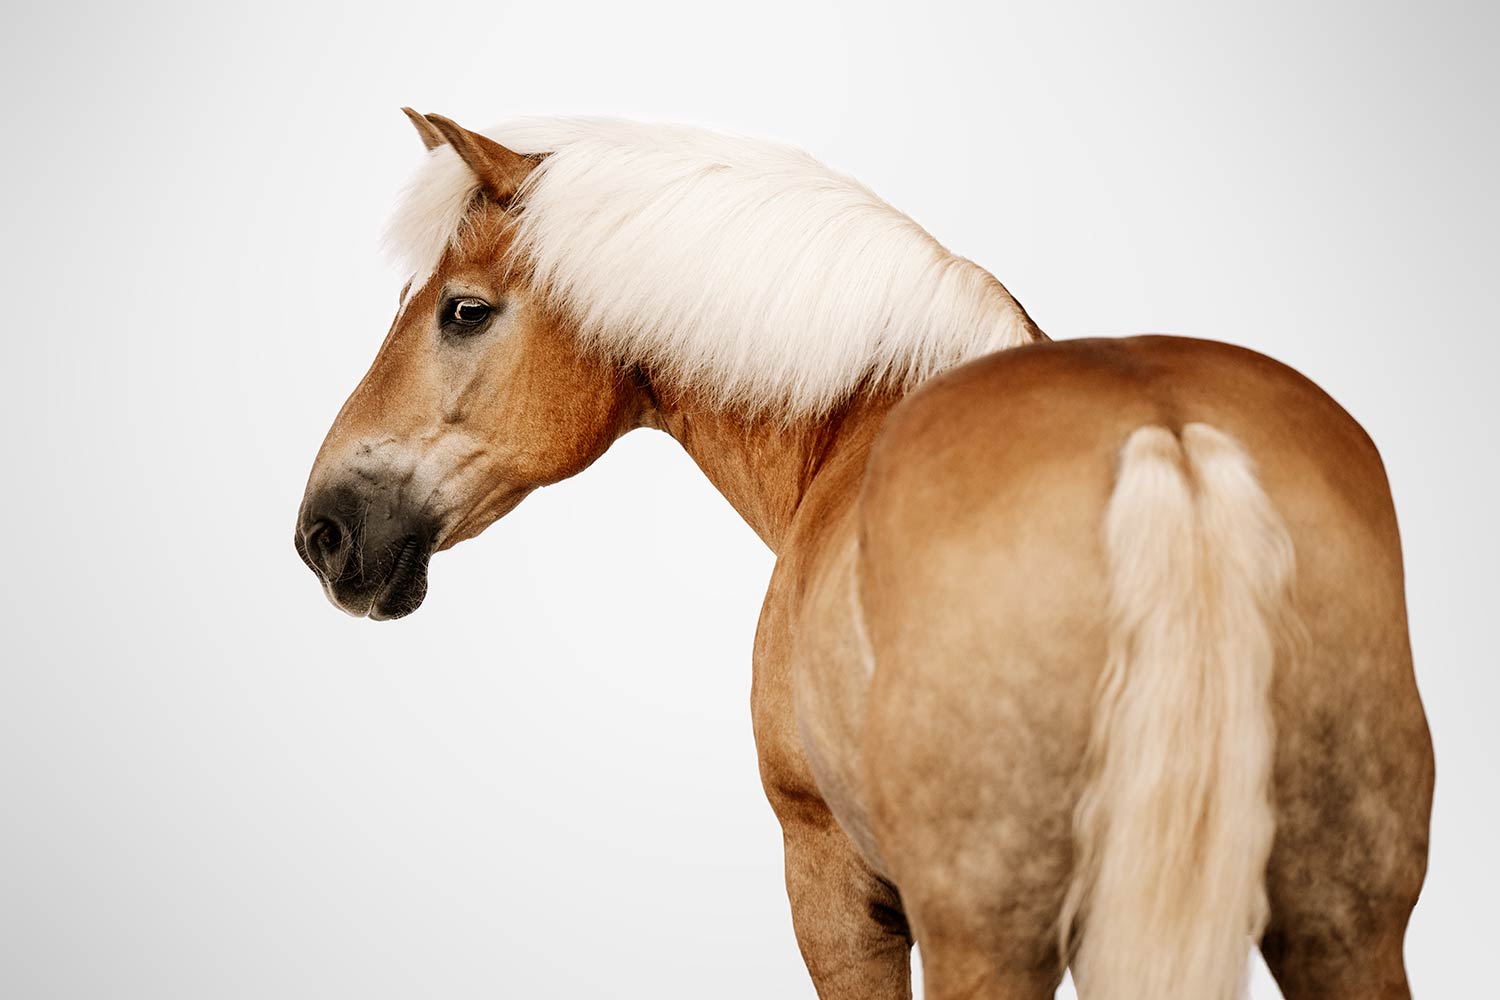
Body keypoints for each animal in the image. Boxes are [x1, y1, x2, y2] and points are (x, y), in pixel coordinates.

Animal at [294, 110, 1434, 1000]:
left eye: (463, 310)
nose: (324, 532)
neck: (856, 420)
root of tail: (1172, 442)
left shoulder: (835, 884)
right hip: (1344, 922)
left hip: (990, 931)